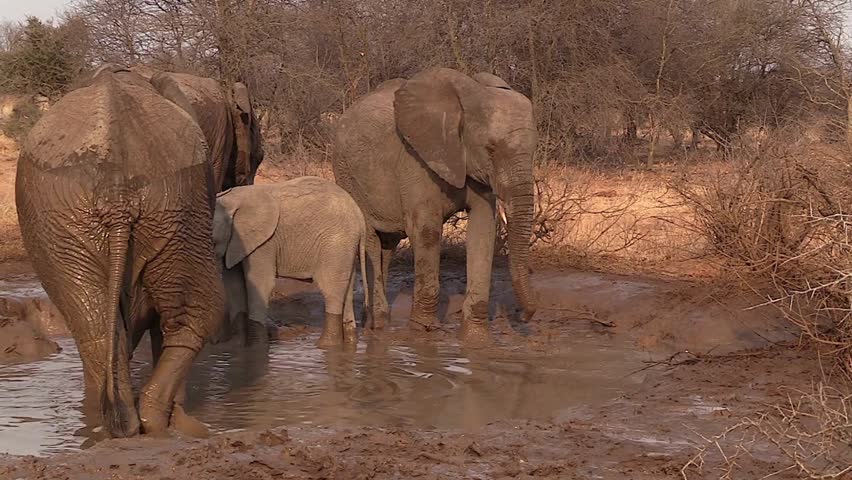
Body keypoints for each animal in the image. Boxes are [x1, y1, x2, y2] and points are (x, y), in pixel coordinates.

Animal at [15, 66, 224, 438]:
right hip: (169, 204)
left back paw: (124, 423)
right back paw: (158, 422)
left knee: (96, 325)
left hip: (82, 211)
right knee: (197, 313)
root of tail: (116, 188)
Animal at [212, 176, 368, 347]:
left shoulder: (264, 243)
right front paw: (236, 346)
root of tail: (360, 217)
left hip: (336, 243)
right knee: (347, 291)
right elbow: (234, 284)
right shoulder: (235, 243)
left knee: (330, 288)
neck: (232, 200)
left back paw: (324, 345)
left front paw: (256, 346)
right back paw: (349, 342)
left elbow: (260, 283)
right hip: (346, 247)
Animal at [333, 67, 538, 344]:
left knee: (388, 245)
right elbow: (426, 231)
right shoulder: (416, 160)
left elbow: (483, 230)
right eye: (491, 149)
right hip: (347, 175)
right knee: (371, 241)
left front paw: (475, 339)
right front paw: (422, 334)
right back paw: (378, 324)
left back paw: (377, 323)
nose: (522, 316)